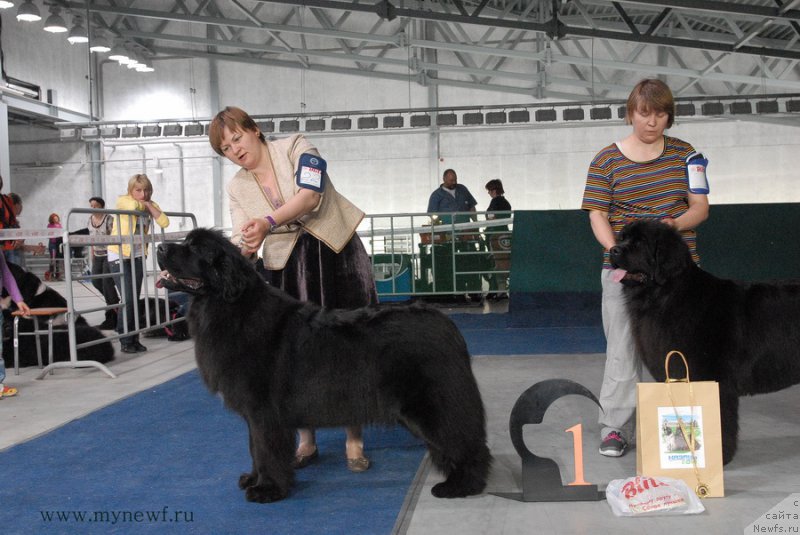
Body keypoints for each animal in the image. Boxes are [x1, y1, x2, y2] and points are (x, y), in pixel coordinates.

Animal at [156, 229, 490, 502]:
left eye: (194, 248)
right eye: (185, 242)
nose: (159, 247)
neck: (229, 304)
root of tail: (445, 323)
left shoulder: (263, 412)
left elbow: (265, 449)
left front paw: (267, 490)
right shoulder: (254, 415)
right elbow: (254, 449)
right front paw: (253, 478)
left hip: (430, 404)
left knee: (464, 440)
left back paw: (461, 485)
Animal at [612, 221, 800, 464]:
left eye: (639, 243)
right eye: (622, 238)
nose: (613, 250)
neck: (667, 296)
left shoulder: (715, 379)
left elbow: (718, 418)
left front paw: (715, 456)